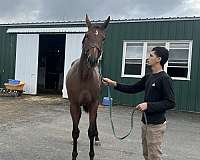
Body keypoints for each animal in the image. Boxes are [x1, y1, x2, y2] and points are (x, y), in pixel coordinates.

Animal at [65, 14, 110, 159]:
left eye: (103, 38)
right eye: (87, 35)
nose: (92, 60)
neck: (84, 77)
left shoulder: (94, 104)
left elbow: (90, 131)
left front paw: (91, 154)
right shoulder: (74, 105)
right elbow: (75, 131)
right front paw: (74, 154)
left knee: (94, 121)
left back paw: (97, 138)